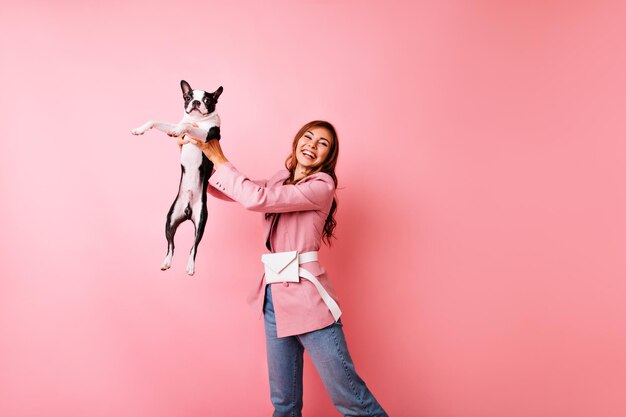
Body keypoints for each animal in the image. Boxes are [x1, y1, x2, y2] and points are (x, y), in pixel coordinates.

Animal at [129, 79, 222, 274]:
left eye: (207, 100)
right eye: (188, 97)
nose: (196, 102)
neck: (196, 120)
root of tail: (187, 211)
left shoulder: (207, 135)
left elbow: (186, 126)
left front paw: (181, 129)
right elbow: (156, 120)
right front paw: (139, 129)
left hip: (201, 220)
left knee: (194, 247)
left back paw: (190, 266)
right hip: (170, 220)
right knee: (171, 244)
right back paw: (166, 262)